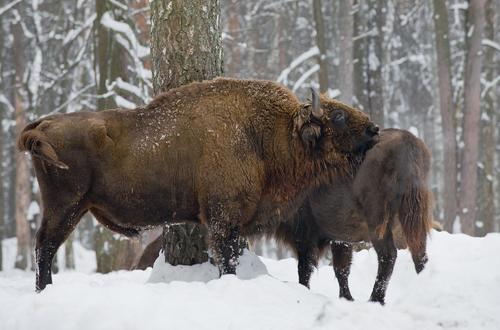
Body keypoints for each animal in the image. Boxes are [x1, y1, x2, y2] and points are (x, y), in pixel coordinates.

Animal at [19, 78, 378, 292]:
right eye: (338, 117)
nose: (374, 129)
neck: (266, 133)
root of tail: (44, 125)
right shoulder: (223, 219)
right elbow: (226, 258)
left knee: (45, 246)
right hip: (65, 205)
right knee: (45, 246)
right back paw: (43, 289)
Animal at [268, 128, 432, 304]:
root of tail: (407, 141)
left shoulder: (306, 235)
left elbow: (305, 267)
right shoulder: (340, 238)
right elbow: (341, 269)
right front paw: (346, 298)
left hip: (378, 221)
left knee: (388, 255)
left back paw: (375, 299)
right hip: (413, 215)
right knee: (419, 253)